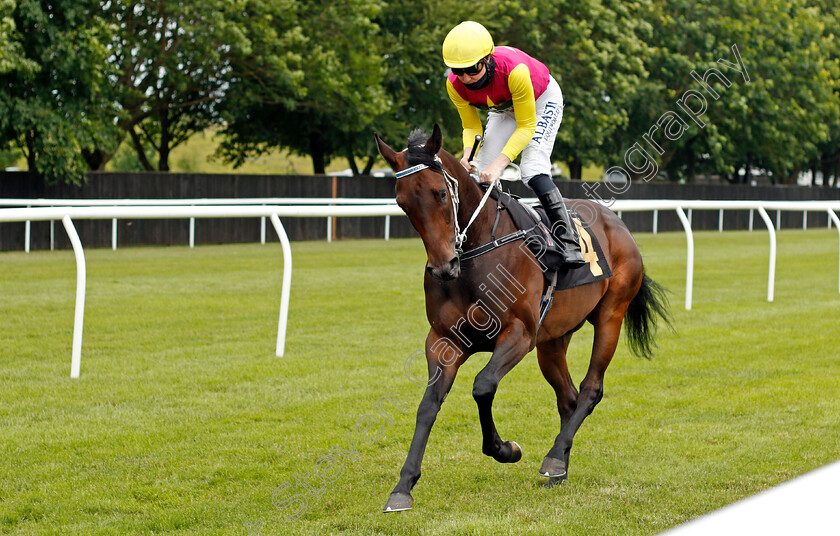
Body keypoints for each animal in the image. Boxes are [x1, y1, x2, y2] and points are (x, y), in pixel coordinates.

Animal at [374, 123, 668, 512]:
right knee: (568, 397)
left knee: (591, 389)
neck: (476, 253)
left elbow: (483, 385)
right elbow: (428, 405)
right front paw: (403, 485)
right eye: (402, 203)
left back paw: (554, 458)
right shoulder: (442, 340)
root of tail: (617, 224)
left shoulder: (519, 334)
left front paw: (505, 449)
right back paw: (559, 467)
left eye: (439, 193)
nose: (443, 267)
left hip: (611, 315)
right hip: (553, 339)